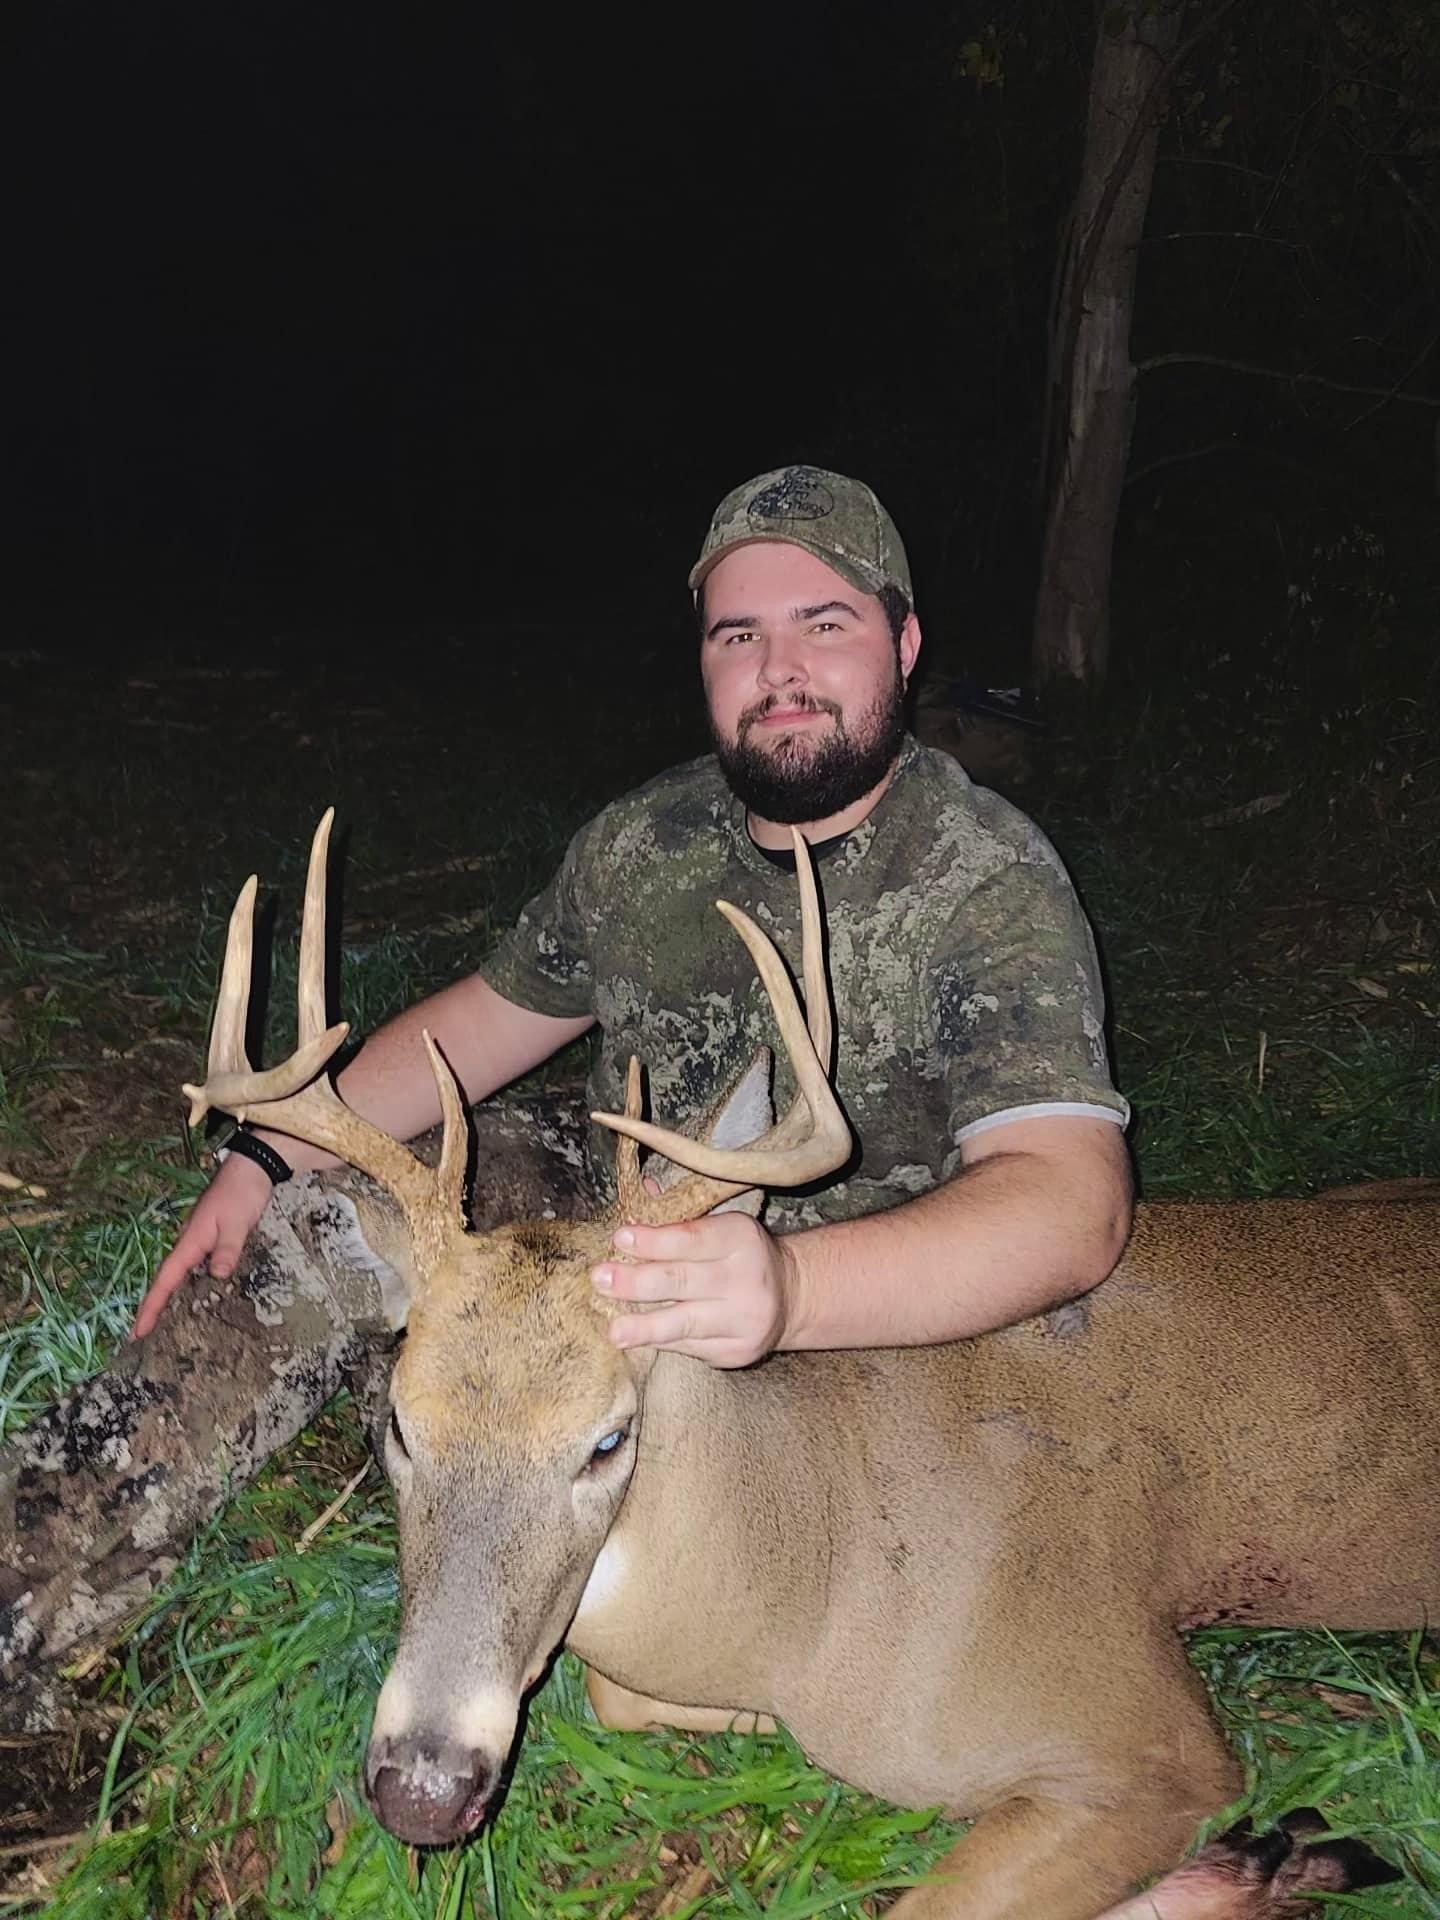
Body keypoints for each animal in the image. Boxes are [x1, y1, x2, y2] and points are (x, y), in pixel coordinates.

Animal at [177, 809, 1433, 1919]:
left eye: (608, 1438)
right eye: (398, 1423)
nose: (424, 1790)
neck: (811, 1576)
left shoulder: (1146, 1733)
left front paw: (1276, 1859)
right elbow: (623, 1695)